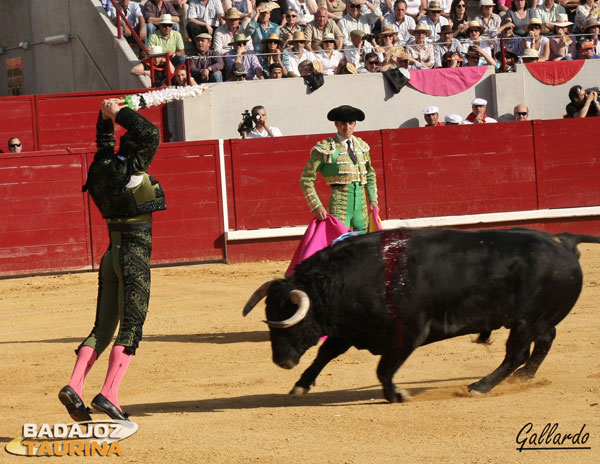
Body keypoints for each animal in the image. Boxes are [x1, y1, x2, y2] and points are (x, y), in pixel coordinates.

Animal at [243, 227, 600, 400]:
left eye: (289, 321)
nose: (282, 362)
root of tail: (563, 242)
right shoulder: (350, 330)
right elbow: (325, 354)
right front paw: (300, 385)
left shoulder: (408, 335)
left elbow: (384, 370)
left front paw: (397, 394)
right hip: (538, 319)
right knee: (545, 341)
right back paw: (524, 378)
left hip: (524, 322)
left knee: (516, 354)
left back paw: (479, 386)